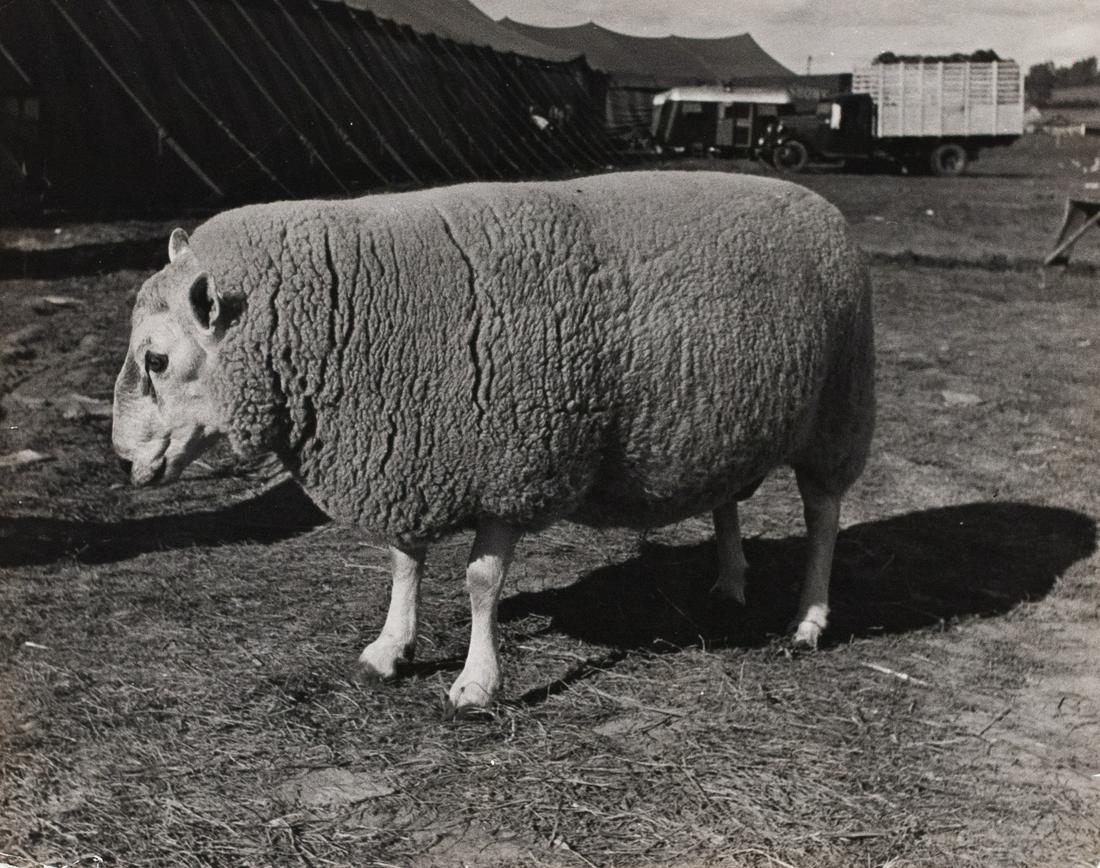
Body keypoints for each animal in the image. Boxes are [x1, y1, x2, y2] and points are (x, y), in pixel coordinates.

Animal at [112, 171, 875, 717]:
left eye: (156, 360)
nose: (122, 460)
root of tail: (815, 200)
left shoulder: (515, 465)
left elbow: (481, 583)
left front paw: (476, 684)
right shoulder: (410, 455)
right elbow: (404, 562)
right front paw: (389, 648)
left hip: (839, 412)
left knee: (824, 517)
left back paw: (808, 621)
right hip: (727, 422)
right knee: (727, 502)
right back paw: (730, 581)